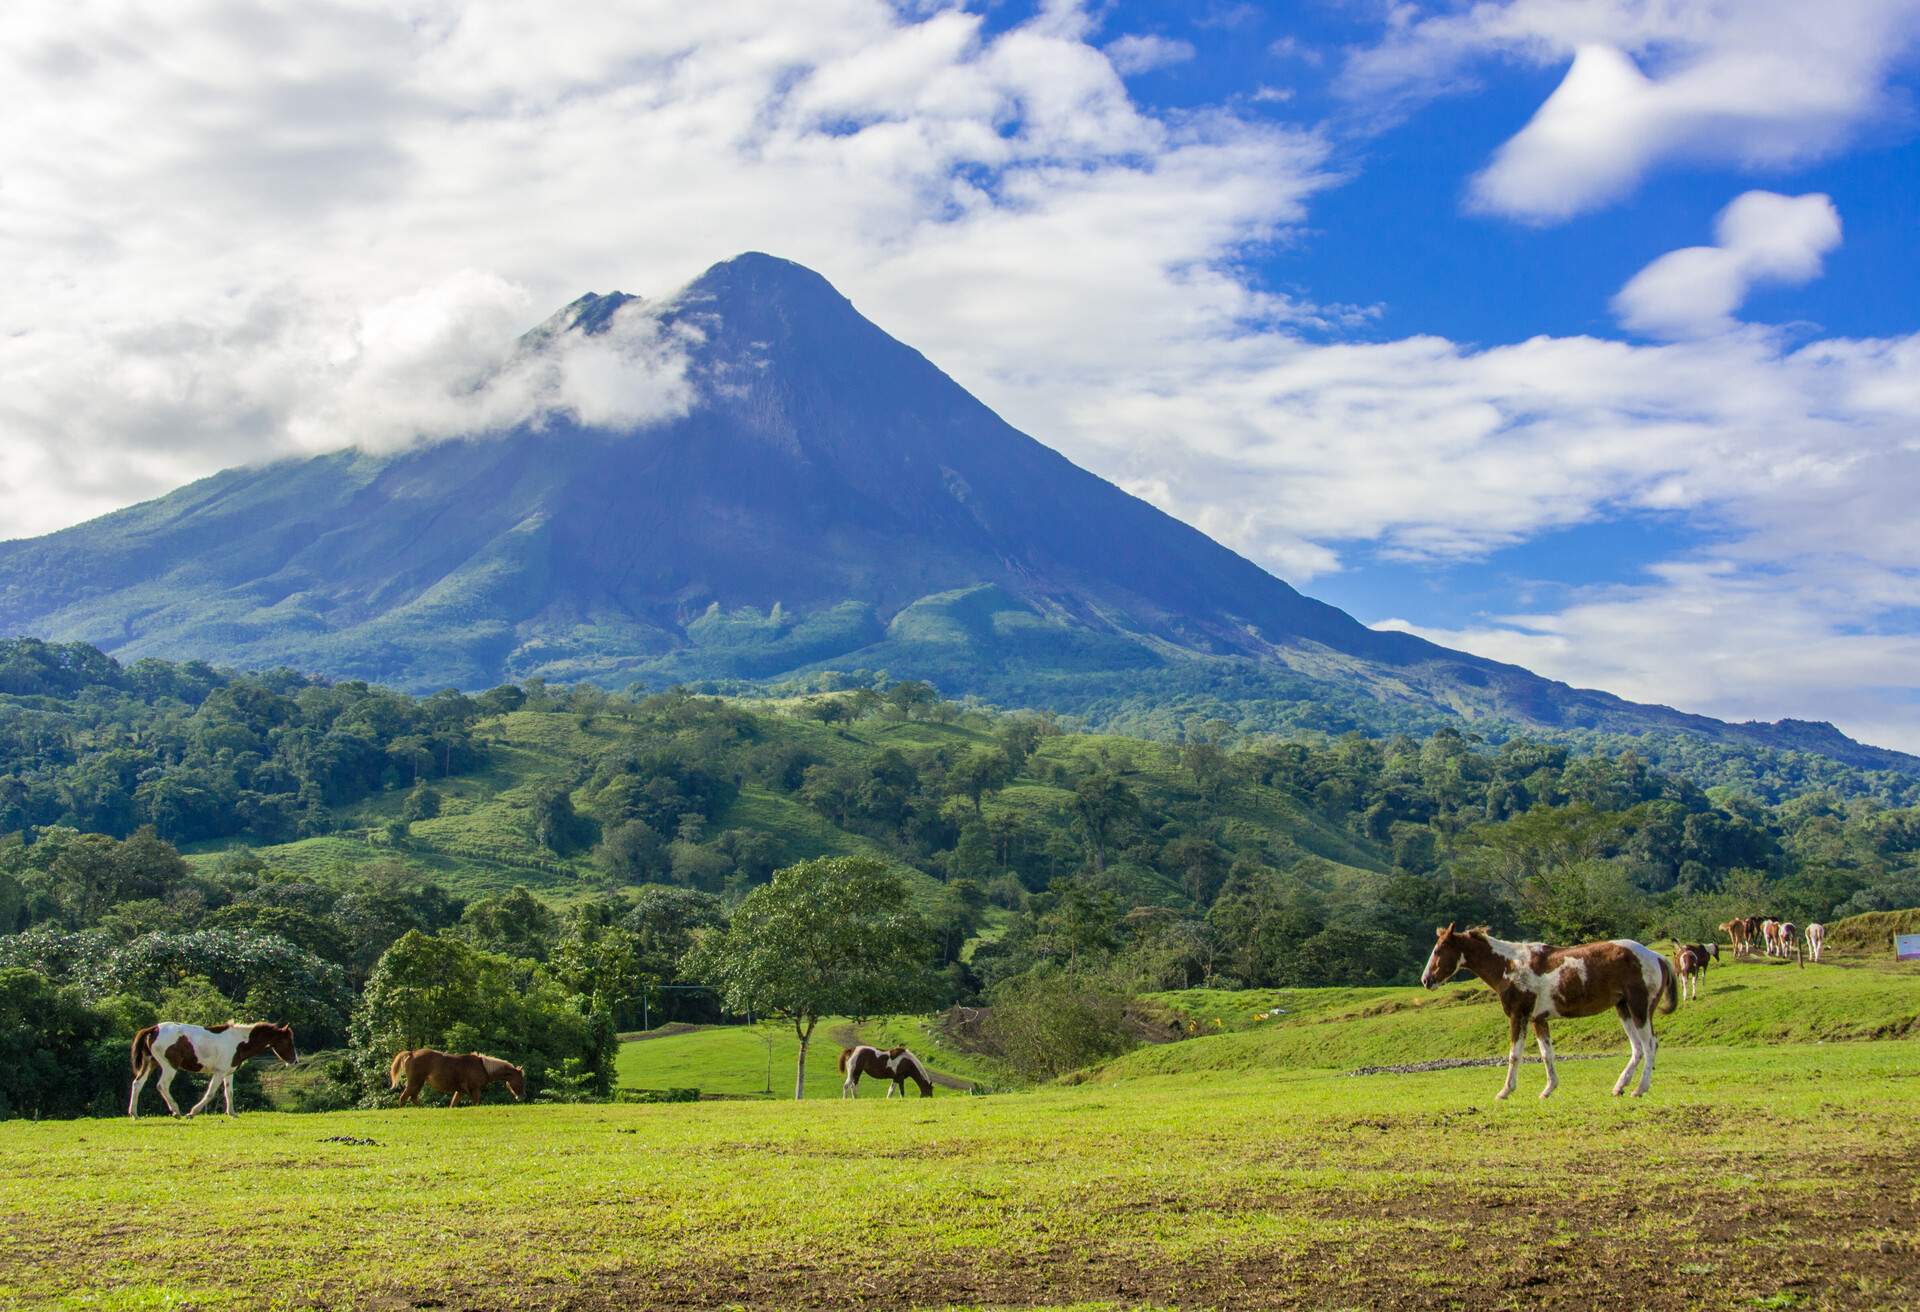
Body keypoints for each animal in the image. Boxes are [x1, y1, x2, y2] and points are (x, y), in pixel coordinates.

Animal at [127, 1021, 293, 1121]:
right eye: (288, 1041)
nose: (294, 1060)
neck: (238, 1041)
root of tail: (154, 1029)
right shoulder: (219, 1073)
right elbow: (210, 1093)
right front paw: (192, 1112)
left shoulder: (228, 1073)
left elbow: (229, 1093)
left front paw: (232, 1114)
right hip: (169, 1067)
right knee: (162, 1086)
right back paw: (176, 1111)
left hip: (150, 1063)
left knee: (137, 1084)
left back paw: (134, 1114)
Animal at [387, 1044, 526, 1106]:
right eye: (520, 1080)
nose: (521, 1097)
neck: (483, 1067)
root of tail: (412, 1053)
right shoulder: (475, 1090)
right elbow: (476, 1103)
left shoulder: (460, 1091)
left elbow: (453, 1104)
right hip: (415, 1081)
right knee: (404, 1098)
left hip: (419, 1083)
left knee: (413, 1098)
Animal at [1420, 929, 1674, 1106]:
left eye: (1438, 950)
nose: (1426, 980)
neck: (1508, 966)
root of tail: (1657, 956)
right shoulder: (1538, 1020)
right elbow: (1546, 1055)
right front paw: (1548, 1090)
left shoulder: (1518, 1016)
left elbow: (1514, 1055)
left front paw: (1505, 1091)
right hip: (1624, 1009)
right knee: (1637, 1048)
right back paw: (1620, 1086)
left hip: (1639, 1008)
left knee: (1649, 1045)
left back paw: (1639, 1089)